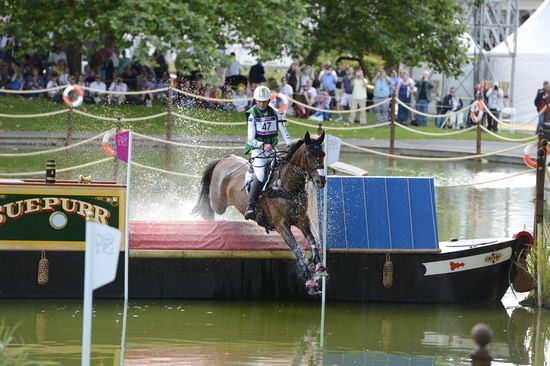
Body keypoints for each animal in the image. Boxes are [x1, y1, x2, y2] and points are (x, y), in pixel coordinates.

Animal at [193, 132, 328, 294]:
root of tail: (224, 159)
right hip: (218, 203)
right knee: (208, 208)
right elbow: (298, 250)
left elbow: (312, 240)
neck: (287, 187)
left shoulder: (303, 220)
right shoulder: (282, 226)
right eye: (308, 155)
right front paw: (310, 283)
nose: (321, 181)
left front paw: (320, 267)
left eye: (323, 154)